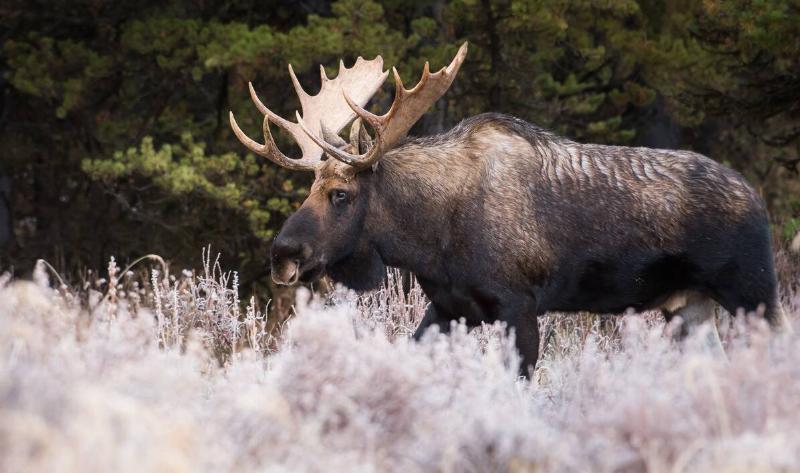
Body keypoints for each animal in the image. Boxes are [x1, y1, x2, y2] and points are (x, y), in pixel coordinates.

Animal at [230, 43, 788, 375]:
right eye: (310, 188)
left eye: (341, 195)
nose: (283, 254)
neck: (430, 239)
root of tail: (757, 199)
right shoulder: (451, 306)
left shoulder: (518, 306)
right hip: (689, 306)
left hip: (753, 290)